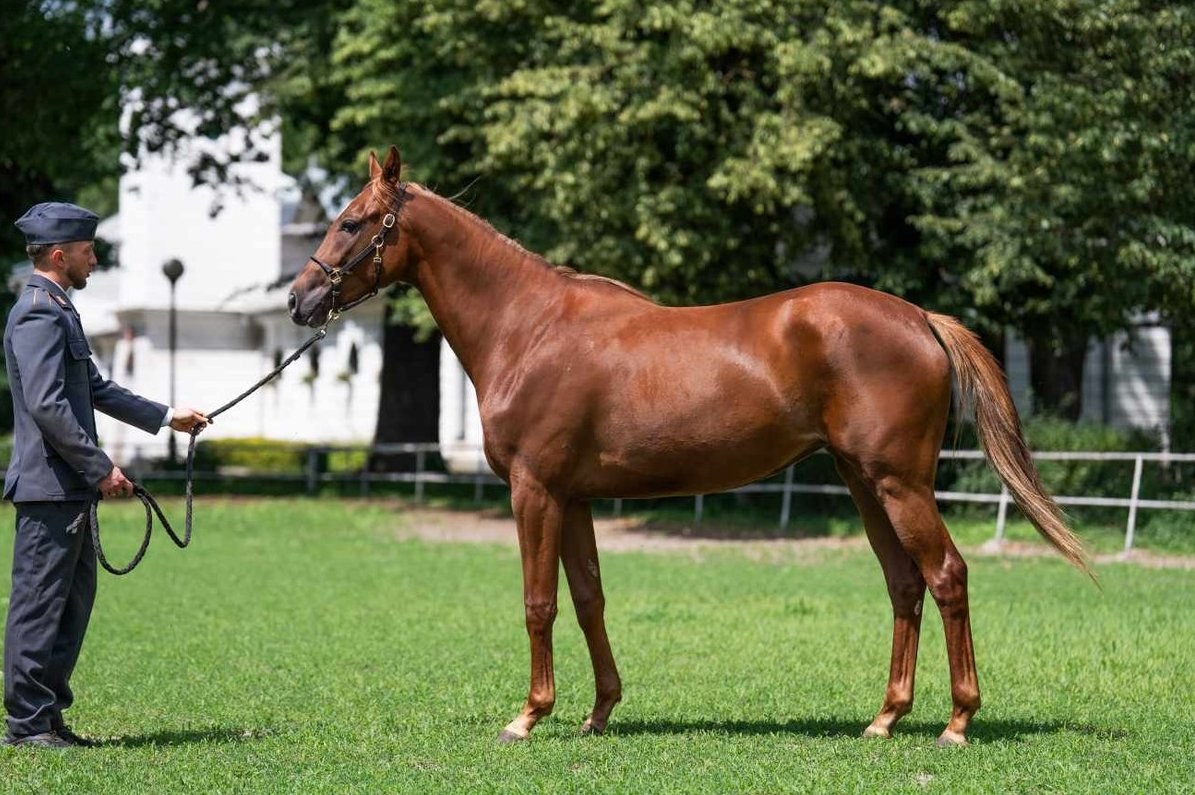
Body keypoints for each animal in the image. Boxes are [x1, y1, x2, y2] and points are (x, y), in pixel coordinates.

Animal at [287, 146, 1091, 747]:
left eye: (353, 221)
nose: (299, 299)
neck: (530, 327)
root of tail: (919, 317)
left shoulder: (534, 490)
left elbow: (539, 602)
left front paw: (527, 716)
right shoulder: (572, 497)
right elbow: (589, 598)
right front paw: (598, 712)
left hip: (900, 484)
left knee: (947, 575)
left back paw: (956, 722)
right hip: (865, 483)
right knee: (904, 584)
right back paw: (885, 717)